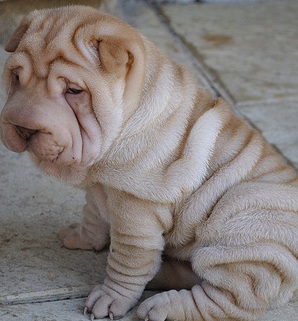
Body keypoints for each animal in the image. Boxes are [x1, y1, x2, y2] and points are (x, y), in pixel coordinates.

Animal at [1, 5, 298, 320]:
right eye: (16, 76)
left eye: (74, 91)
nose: (23, 128)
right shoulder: (98, 186)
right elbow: (92, 215)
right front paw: (80, 236)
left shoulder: (136, 210)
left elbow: (127, 261)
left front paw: (110, 298)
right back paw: (160, 273)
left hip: (244, 232)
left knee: (225, 299)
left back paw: (163, 306)